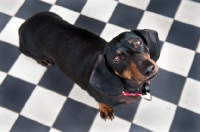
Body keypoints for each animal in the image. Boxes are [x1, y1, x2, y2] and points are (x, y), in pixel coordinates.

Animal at [18, 11, 160, 120]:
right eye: (116, 58)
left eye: (138, 42)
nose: (149, 69)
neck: (130, 87)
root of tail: (24, 24)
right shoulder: (97, 96)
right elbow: (102, 102)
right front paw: (105, 109)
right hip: (30, 51)